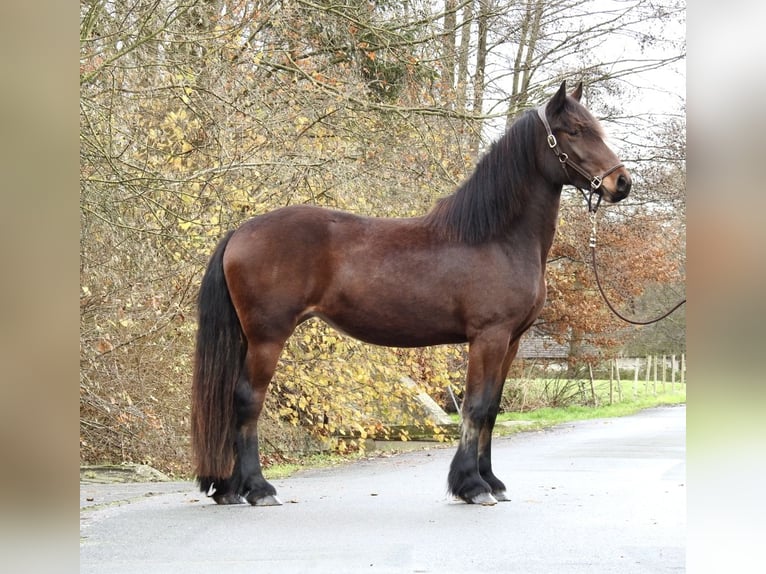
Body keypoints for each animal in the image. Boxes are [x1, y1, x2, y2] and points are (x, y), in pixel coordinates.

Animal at [194, 82, 636, 508]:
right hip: (268, 337)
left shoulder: (511, 341)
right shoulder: (488, 337)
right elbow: (475, 408)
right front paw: (472, 486)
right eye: (574, 131)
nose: (622, 182)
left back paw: (229, 489)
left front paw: (492, 482)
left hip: (249, 338)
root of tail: (240, 232)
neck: (497, 237)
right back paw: (258, 489)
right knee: (248, 401)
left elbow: (492, 410)